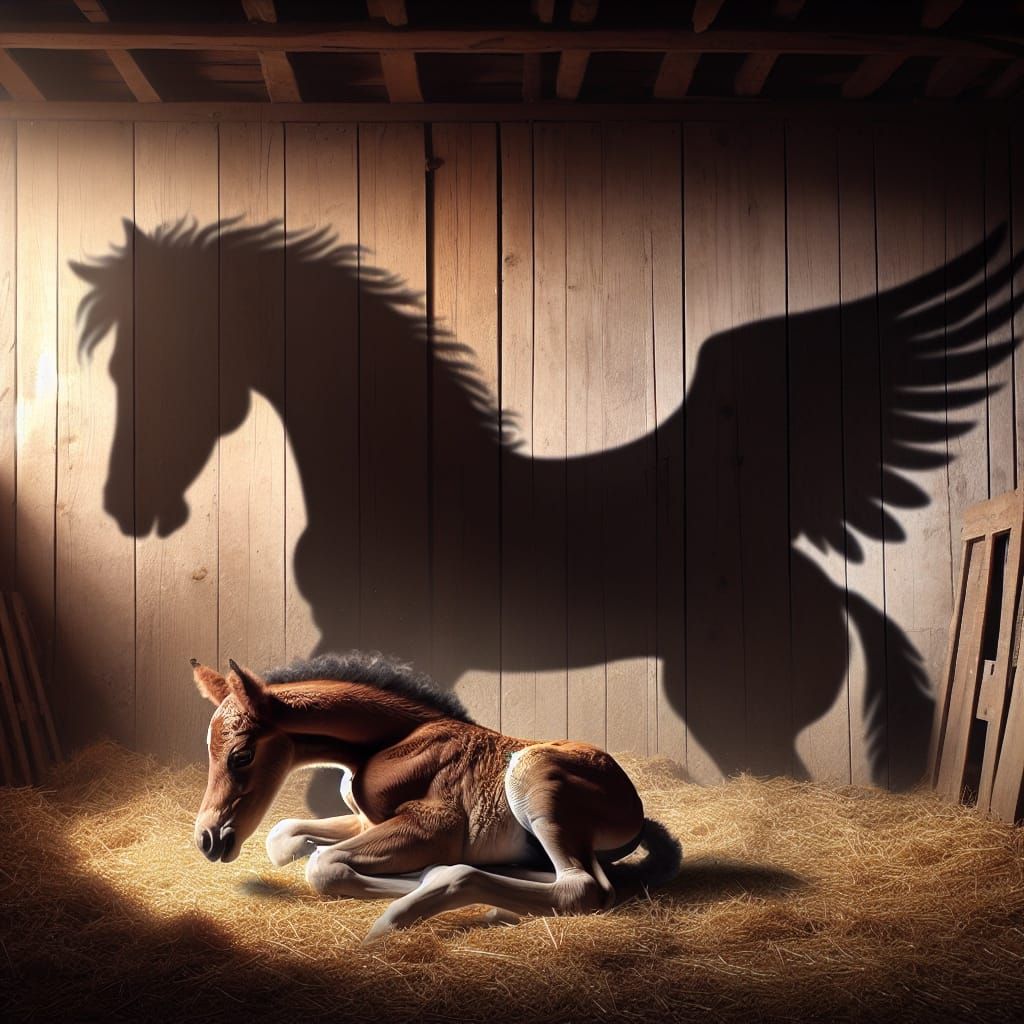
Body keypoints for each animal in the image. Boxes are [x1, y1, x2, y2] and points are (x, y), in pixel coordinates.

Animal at [189, 652, 682, 941]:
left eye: (241, 755)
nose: (208, 840)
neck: (393, 740)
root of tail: (635, 807)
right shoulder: (365, 820)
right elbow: (283, 835)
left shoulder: (433, 826)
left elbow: (324, 865)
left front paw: (412, 884)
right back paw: (497, 906)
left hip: (534, 778)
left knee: (582, 887)